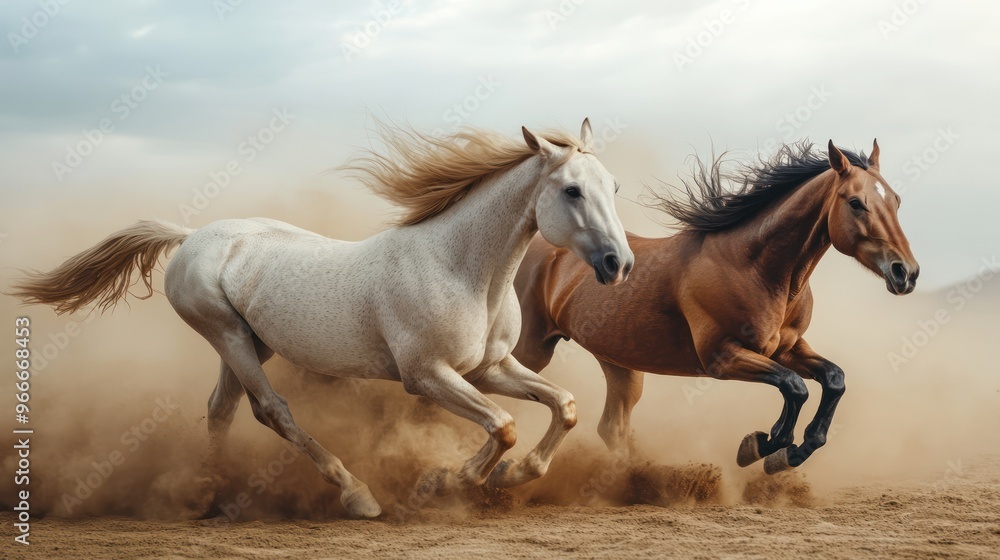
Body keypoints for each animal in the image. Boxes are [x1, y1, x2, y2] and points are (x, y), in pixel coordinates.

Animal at [10, 119, 635, 518]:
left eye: (614, 185)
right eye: (572, 190)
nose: (619, 264)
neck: (461, 269)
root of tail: (192, 236)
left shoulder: (490, 368)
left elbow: (564, 407)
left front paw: (511, 477)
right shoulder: (427, 376)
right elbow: (502, 425)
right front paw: (443, 482)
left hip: (248, 343)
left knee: (220, 409)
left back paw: (213, 498)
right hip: (227, 335)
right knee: (270, 411)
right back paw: (357, 495)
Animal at [512, 139, 919, 474]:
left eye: (896, 201)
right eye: (856, 203)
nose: (906, 273)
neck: (753, 267)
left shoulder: (788, 348)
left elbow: (833, 379)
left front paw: (791, 451)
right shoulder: (721, 358)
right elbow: (795, 387)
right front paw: (761, 446)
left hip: (620, 363)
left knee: (613, 427)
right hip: (531, 348)